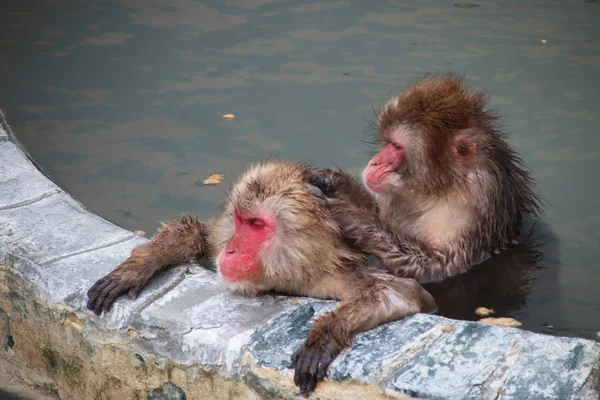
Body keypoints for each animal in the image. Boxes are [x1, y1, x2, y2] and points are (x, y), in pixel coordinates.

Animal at [86, 160, 436, 396]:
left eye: (257, 225)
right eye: (241, 220)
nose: (231, 251)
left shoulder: (335, 277)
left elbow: (405, 292)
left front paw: (326, 334)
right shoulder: (223, 238)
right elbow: (199, 234)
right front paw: (136, 267)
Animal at [310, 72, 544, 284]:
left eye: (396, 147)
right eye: (387, 141)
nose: (375, 162)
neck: (440, 188)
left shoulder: (471, 212)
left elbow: (434, 268)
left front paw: (348, 214)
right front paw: (335, 182)